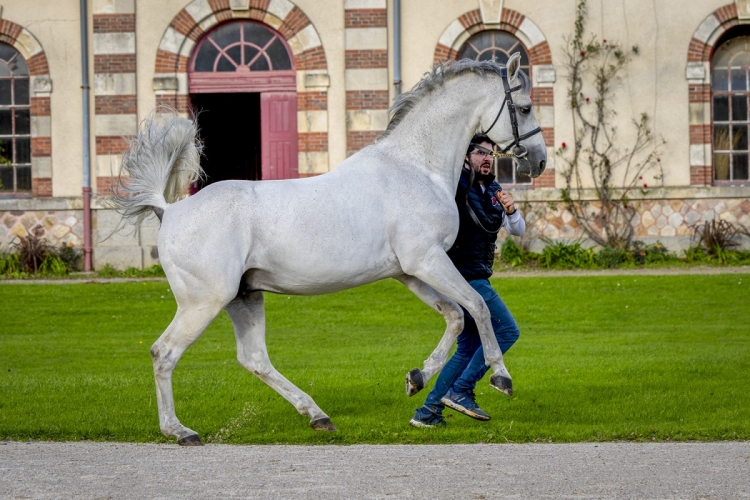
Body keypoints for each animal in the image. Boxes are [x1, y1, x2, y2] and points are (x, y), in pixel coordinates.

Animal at [116, 54, 548, 446]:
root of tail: (170, 210)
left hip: (245, 297)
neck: (414, 167)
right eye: (525, 107)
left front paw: (416, 378)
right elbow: (477, 306)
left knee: (254, 359)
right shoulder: (427, 261)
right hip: (204, 301)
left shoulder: (410, 272)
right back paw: (180, 431)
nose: (540, 161)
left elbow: (456, 316)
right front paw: (501, 377)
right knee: (164, 352)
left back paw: (317, 416)